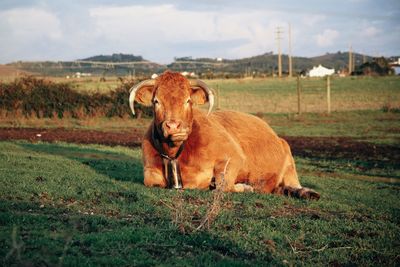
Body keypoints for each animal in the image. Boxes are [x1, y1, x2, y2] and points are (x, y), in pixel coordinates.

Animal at [130, 70, 320, 200]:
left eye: (188, 101)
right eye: (156, 101)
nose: (174, 126)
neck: (176, 153)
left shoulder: (234, 156)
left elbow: (223, 185)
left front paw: (245, 187)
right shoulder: (149, 167)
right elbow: (151, 181)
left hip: (288, 156)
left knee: (293, 181)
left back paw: (305, 192)